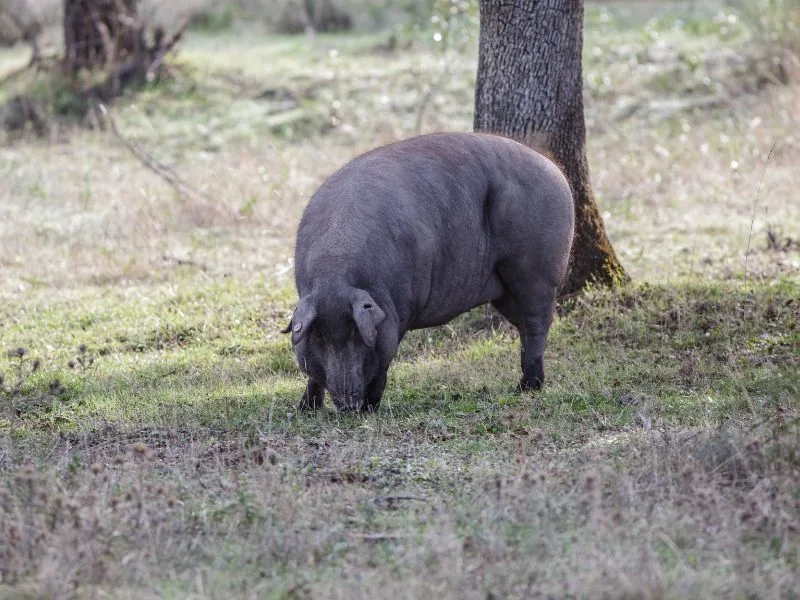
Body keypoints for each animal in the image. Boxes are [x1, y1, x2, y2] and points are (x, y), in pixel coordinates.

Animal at [282, 132, 575, 412]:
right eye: (319, 335)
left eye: (357, 332)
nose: (348, 405)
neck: (335, 276)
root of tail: (555, 170)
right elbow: (313, 376)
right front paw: (304, 410)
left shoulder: (398, 312)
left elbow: (384, 362)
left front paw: (369, 409)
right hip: (506, 290)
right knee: (523, 326)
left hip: (537, 271)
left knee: (538, 324)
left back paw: (527, 388)